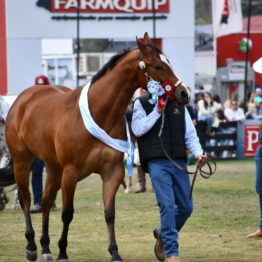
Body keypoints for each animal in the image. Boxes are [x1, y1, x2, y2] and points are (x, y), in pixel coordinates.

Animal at [5, 32, 189, 262]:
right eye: (158, 66)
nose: (184, 93)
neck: (100, 112)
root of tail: (22, 100)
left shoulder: (112, 172)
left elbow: (109, 214)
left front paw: (115, 253)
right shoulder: (71, 172)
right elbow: (67, 213)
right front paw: (63, 252)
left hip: (54, 167)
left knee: (46, 202)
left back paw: (46, 248)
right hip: (23, 161)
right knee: (26, 200)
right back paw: (31, 246)